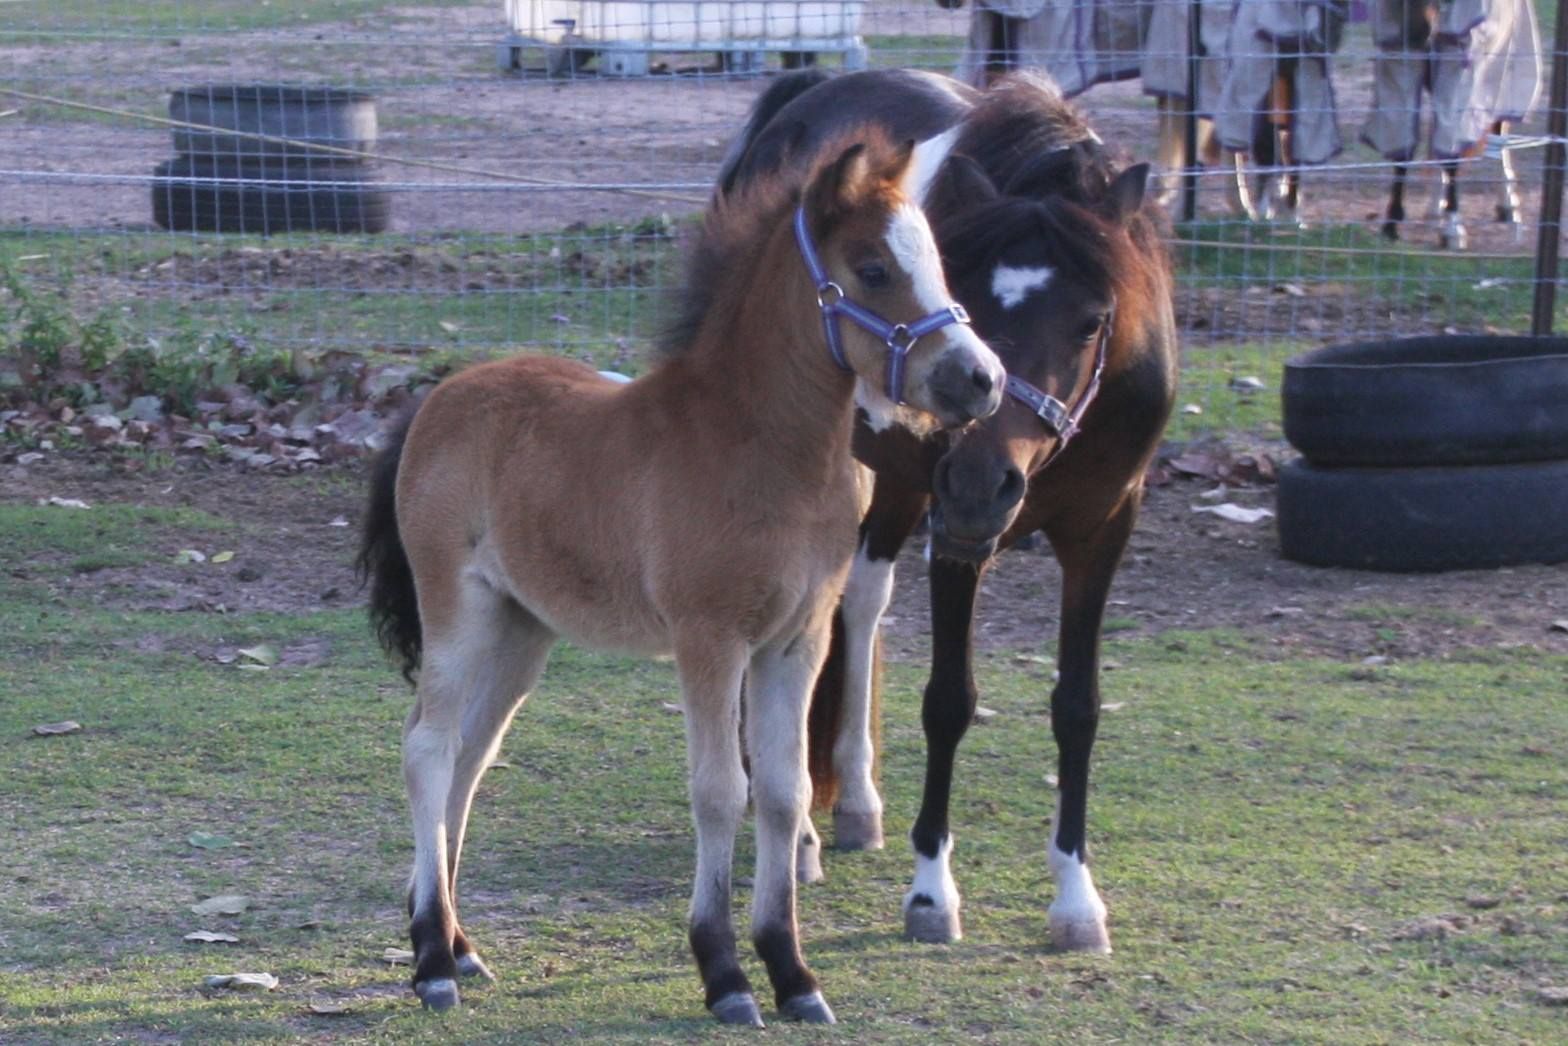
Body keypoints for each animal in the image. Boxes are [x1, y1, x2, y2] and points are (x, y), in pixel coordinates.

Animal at [357, 130, 1006, 1026]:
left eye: (936, 261)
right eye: (873, 267)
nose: (983, 378)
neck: (764, 449)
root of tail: (434, 399)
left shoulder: (796, 641)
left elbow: (784, 791)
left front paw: (793, 973)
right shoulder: (710, 640)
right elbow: (720, 792)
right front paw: (725, 974)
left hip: (523, 629)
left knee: (472, 757)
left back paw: (459, 942)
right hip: (457, 610)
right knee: (428, 747)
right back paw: (429, 961)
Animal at [719, 69, 1178, 950]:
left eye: (1093, 321)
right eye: (963, 297)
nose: (979, 480)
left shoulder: (1103, 529)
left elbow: (1078, 707)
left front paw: (1076, 896)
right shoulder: (958, 534)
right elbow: (949, 702)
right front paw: (932, 891)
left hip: (891, 494)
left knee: (857, 608)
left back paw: (855, 802)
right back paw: (795, 830)